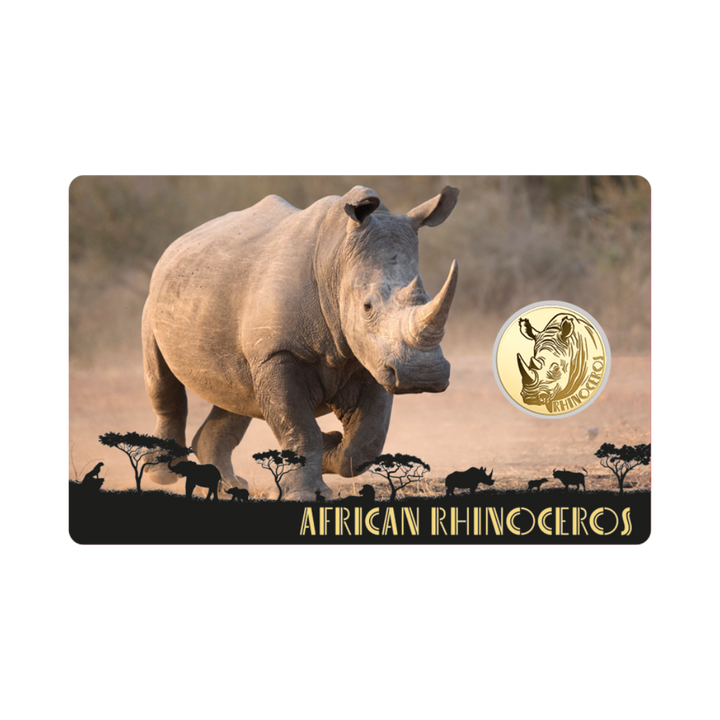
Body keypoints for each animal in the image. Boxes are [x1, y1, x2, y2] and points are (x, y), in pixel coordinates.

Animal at [142, 185, 459, 500]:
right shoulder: (278, 352)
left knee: (236, 396)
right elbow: (299, 428)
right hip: (156, 301)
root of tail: (176, 244)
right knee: (162, 382)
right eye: (367, 307)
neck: (337, 262)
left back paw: (230, 486)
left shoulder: (374, 359)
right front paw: (307, 493)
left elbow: (366, 442)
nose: (422, 375)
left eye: (428, 297)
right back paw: (163, 475)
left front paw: (331, 446)